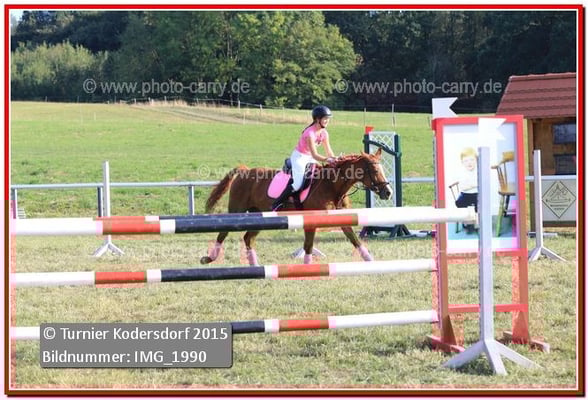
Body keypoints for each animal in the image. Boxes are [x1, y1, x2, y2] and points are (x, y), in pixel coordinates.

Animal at [200, 148, 393, 265]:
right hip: (237, 210)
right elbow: (308, 245)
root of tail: (245, 170)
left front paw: (370, 260)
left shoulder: (342, 219)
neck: (332, 186)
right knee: (224, 232)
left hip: (260, 215)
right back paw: (209, 258)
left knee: (248, 238)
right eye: (375, 171)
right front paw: (307, 267)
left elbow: (354, 239)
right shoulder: (311, 221)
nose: (388, 192)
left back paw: (255, 266)